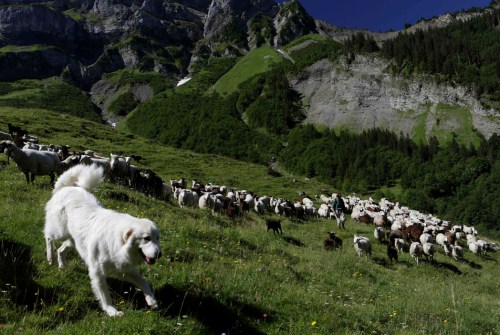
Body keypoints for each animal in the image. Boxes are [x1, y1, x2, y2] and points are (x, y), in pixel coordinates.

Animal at [44, 165, 162, 318]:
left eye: (157, 238)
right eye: (146, 238)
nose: (159, 254)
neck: (118, 241)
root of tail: (67, 187)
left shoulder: (125, 269)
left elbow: (143, 281)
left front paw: (151, 300)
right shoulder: (97, 271)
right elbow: (105, 295)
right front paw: (112, 311)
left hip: (74, 240)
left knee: (61, 249)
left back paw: (62, 265)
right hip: (60, 232)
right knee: (48, 237)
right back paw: (50, 257)